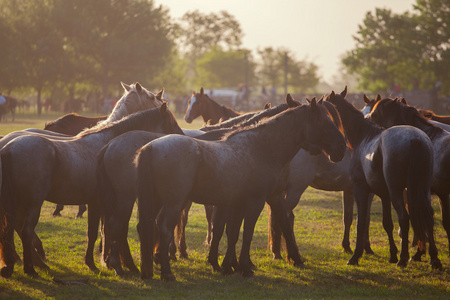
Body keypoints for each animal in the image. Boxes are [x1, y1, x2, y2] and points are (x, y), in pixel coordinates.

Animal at [0, 82, 171, 278]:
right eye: (152, 97)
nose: (163, 102)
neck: (108, 143)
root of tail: (7, 148)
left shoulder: (98, 202)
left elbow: (100, 231)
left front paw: (103, 261)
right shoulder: (110, 202)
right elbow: (111, 231)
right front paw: (114, 262)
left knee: (13, 228)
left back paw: (20, 262)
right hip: (32, 203)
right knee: (24, 230)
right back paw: (31, 265)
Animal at [99, 97, 298, 276]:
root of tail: (110, 144)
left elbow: (228, 229)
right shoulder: (253, 199)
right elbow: (230, 229)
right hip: (129, 197)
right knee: (121, 225)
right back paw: (126, 265)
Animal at [135, 99, 346, 282]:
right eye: (324, 123)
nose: (342, 148)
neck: (262, 148)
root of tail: (150, 147)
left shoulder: (252, 200)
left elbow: (239, 231)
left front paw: (228, 266)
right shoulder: (255, 201)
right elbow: (247, 233)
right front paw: (244, 267)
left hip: (158, 201)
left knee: (150, 226)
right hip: (174, 203)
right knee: (164, 228)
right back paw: (167, 273)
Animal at [326, 86, 442, 270]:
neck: (363, 136)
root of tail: (415, 140)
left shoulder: (361, 189)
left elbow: (361, 221)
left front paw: (355, 255)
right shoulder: (384, 194)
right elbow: (387, 223)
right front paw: (392, 254)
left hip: (397, 191)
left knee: (404, 217)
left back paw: (404, 258)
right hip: (422, 190)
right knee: (428, 218)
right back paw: (434, 259)